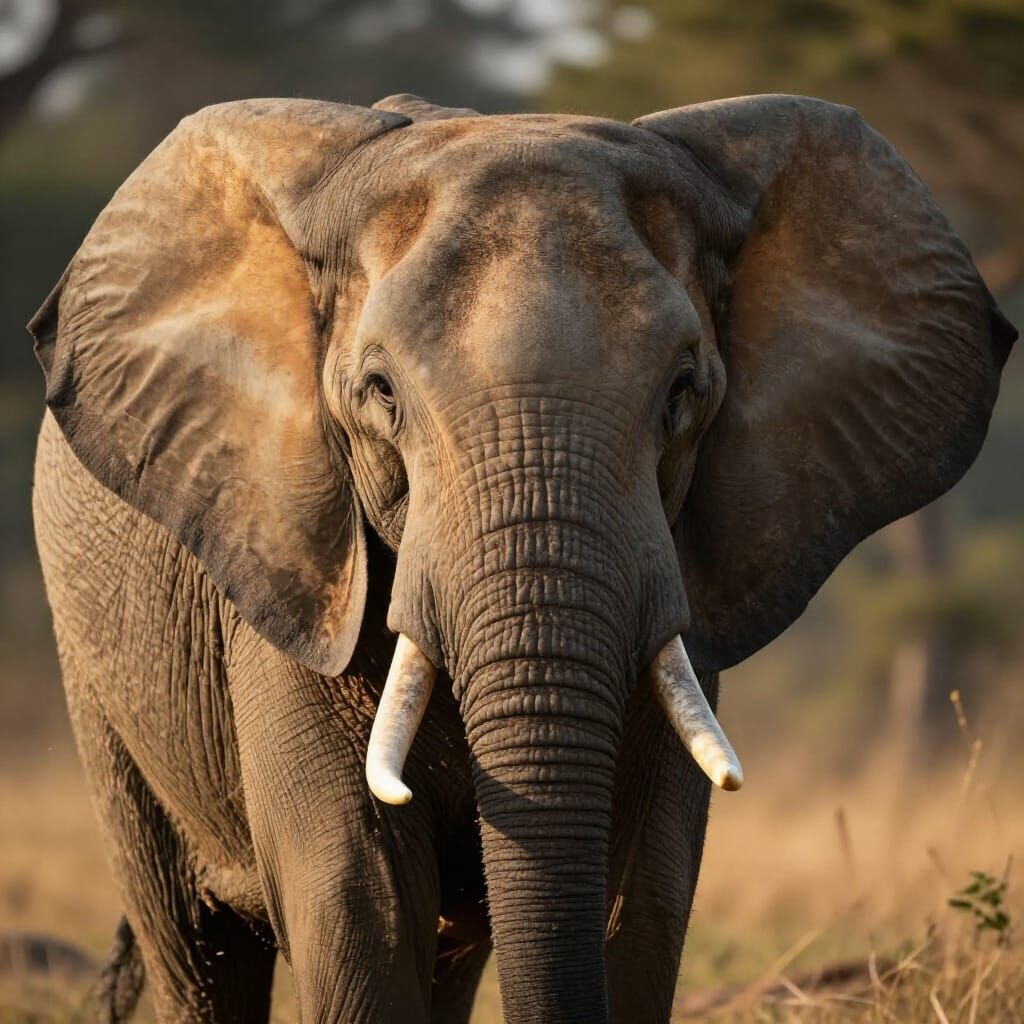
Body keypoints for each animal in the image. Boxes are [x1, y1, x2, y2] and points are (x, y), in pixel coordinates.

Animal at [29, 91, 1014, 1024]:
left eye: (683, 390)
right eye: (380, 392)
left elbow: (644, 896)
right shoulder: (290, 565)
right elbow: (359, 896)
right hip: (103, 686)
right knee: (196, 949)